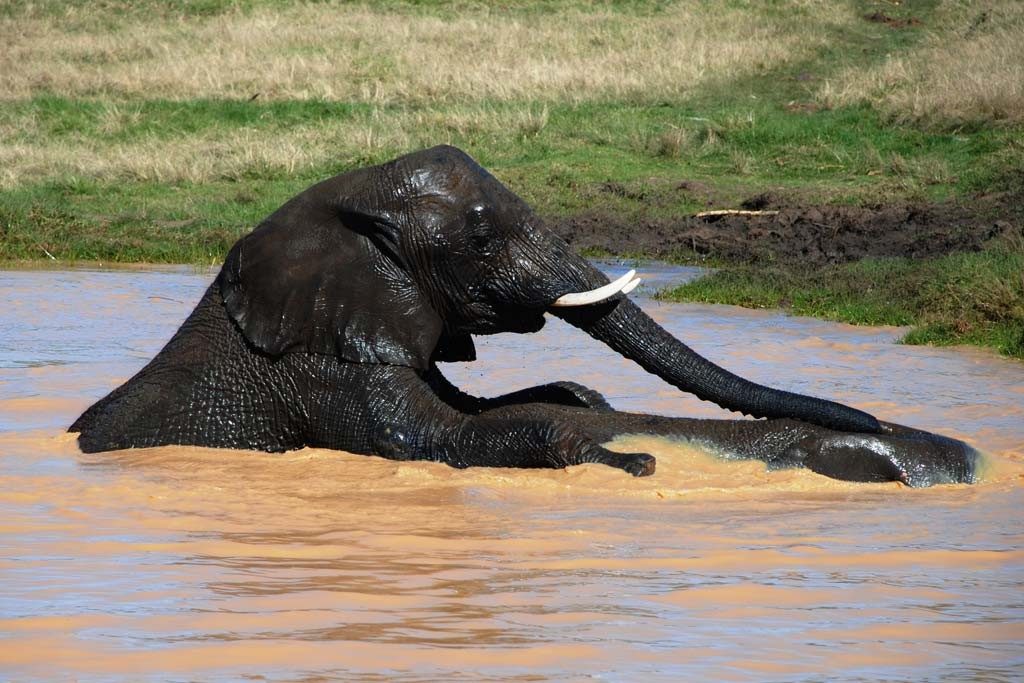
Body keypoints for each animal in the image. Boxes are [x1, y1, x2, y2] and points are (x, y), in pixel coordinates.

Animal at [70, 145, 979, 487]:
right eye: (480, 237)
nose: (877, 422)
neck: (342, 203)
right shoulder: (318, 366)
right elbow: (432, 436)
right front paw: (624, 459)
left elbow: (490, 406)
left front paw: (588, 403)